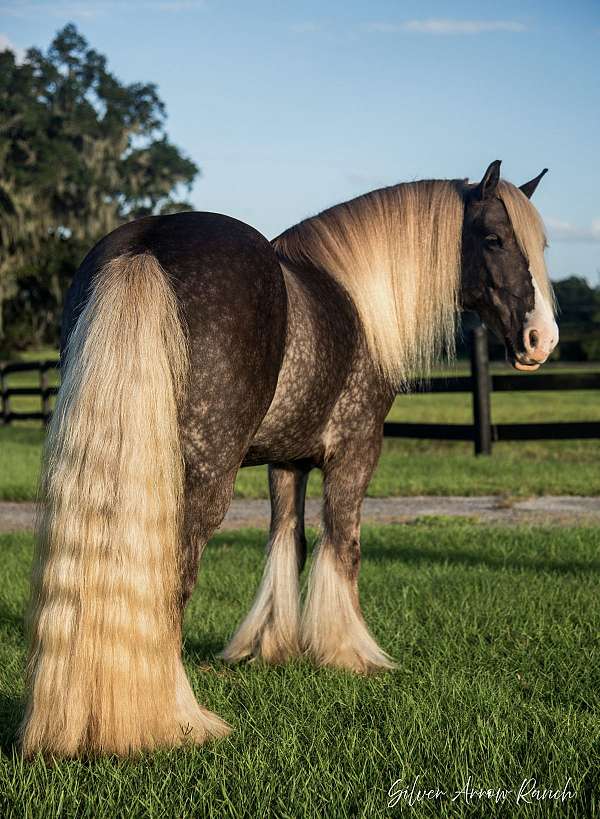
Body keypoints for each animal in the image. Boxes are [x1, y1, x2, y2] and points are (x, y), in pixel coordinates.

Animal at [21, 159, 560, 756]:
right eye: (494, 238)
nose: (541, 339)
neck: (355, 302)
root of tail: (147, 246)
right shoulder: (355, 451)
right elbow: (343, 544)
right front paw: (349, 653)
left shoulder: (288, 463)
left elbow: (288, 541)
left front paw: (271, 646)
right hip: (202, 479)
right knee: (174, 580)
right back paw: (178, 719)